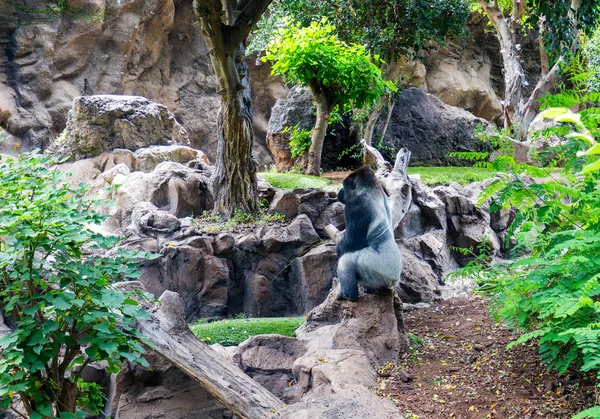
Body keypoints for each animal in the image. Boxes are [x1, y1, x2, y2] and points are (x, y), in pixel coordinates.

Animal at [336, 165, 400, 302]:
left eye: (344, 186)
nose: (339, 191)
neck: (372, 188)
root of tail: (395, 280)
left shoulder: (355, 205)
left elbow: (351, 243)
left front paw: (338, 249)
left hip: (381, 272)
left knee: (346, 260)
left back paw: (348, 295)